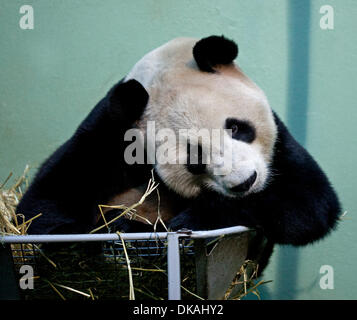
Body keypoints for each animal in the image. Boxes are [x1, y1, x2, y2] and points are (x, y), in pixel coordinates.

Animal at [16, 35, 340, 268]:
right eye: (195, 158)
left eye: (236, 127)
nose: (244, 183)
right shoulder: (108, 131)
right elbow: (42, 207)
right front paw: (93, 235)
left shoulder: (279, 148)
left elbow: (307, 201)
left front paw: (192, 220)